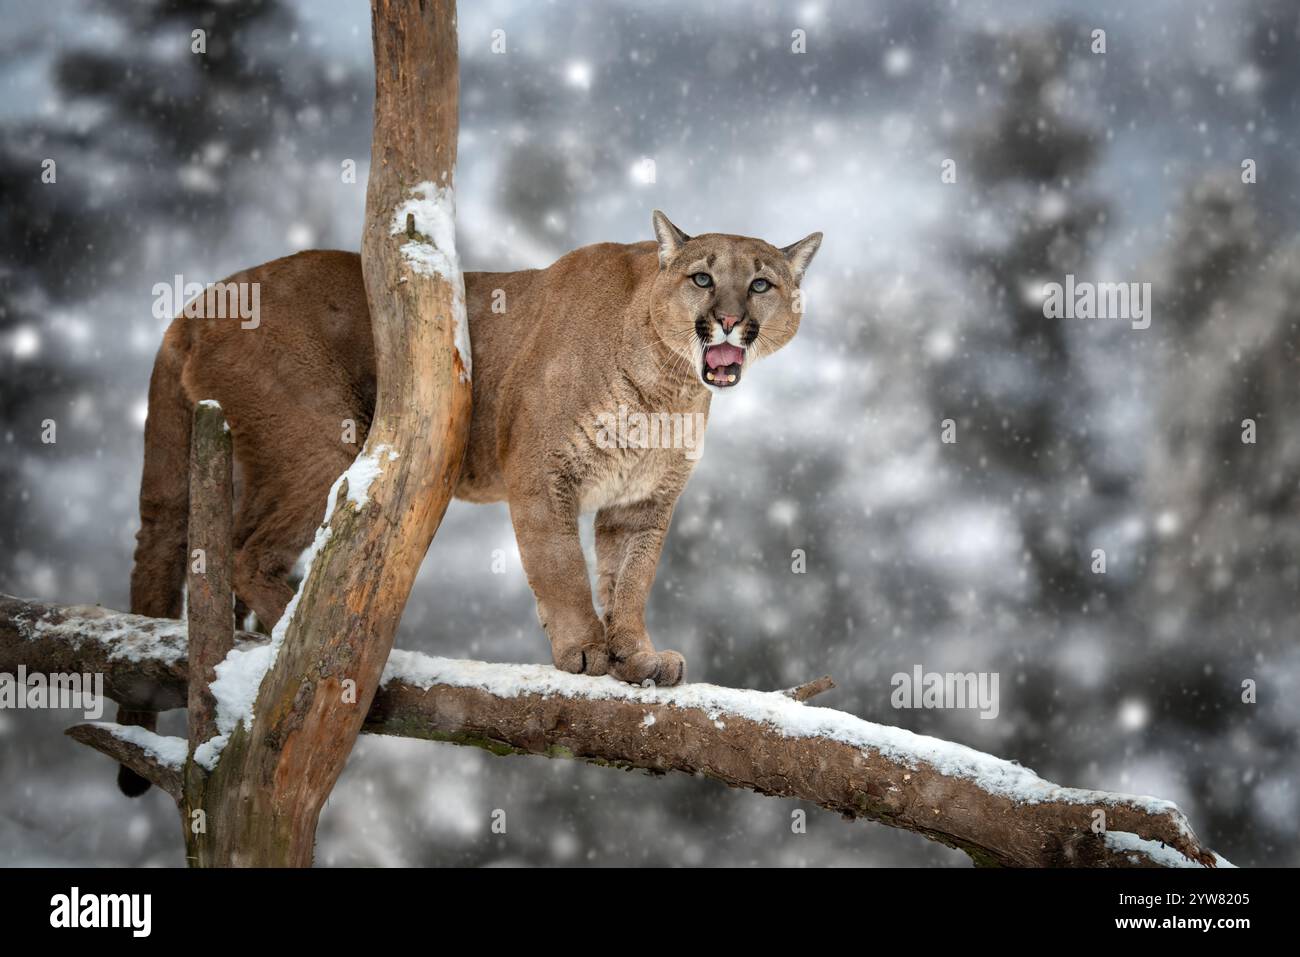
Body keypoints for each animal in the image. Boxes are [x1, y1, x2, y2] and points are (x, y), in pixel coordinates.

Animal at [116, 213, 816, 795]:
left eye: (760, 284)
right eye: (702, 278)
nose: (730, 320)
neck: (668, 387)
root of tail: (199, 303)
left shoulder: (641, 501)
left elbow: (629, 580)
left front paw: (636, 656)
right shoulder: (541, 474)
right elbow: (562, 568)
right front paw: (586, 653)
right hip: (324, 439)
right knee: (244, 552)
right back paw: (334, 642)